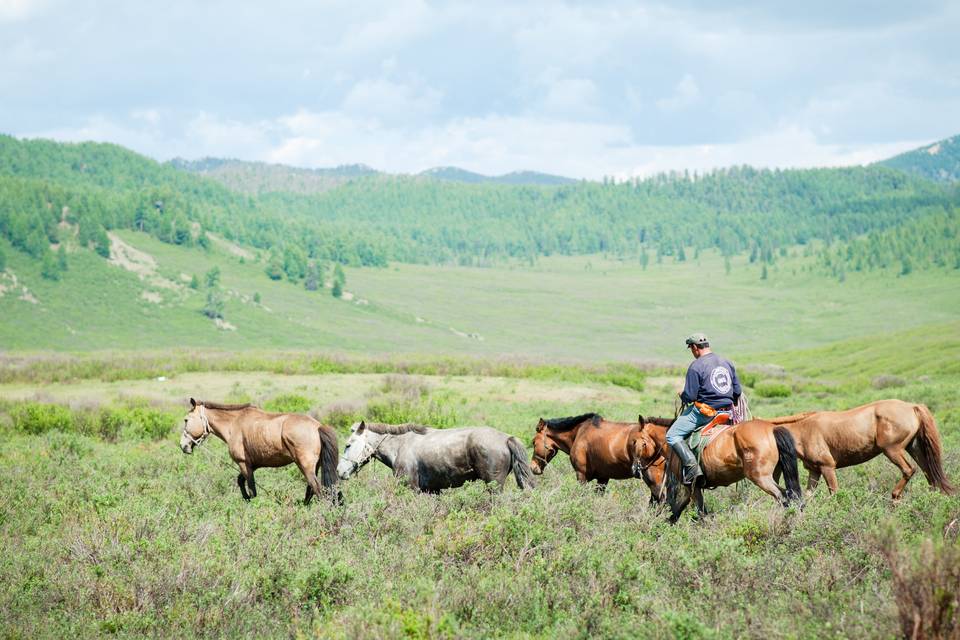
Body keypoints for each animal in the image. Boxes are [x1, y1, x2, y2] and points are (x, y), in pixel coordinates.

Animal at [179, 396, 342, 504]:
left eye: (186, 420)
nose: (183, 445)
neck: (234, 423)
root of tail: (318, 426)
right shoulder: (253, 465)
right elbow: (241, 481)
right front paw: (246, 499)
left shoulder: (243, 464)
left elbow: (251, 488)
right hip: (315, 467)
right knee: (313, 490)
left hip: (305, 467)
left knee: (318, 490)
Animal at [336, 422, 532, 492]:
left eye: (348, 444)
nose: (339, 471)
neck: (400, 445)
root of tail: (506, 438)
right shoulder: (432, 490)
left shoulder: (412, 488)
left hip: (494, 485)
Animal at [632, 412, 804, 524]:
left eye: (635, 442)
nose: (635, 468)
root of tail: (772, 429)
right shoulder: (690, 489)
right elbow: (677, 511)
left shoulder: (692, 487)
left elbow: (700, 513)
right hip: (773, 476)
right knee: (792, 498)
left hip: (761, 478)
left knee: (785, 498)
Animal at [768, 400, 956, 500]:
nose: (771, 479)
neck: (804, 430)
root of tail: (912, 406)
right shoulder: (815, 471)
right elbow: (808, 496)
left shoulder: (827, 468)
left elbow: (834, 493)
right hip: (914, 449)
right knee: (929, 474)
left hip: (892, 450)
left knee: (909, 470)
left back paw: (894, 497)